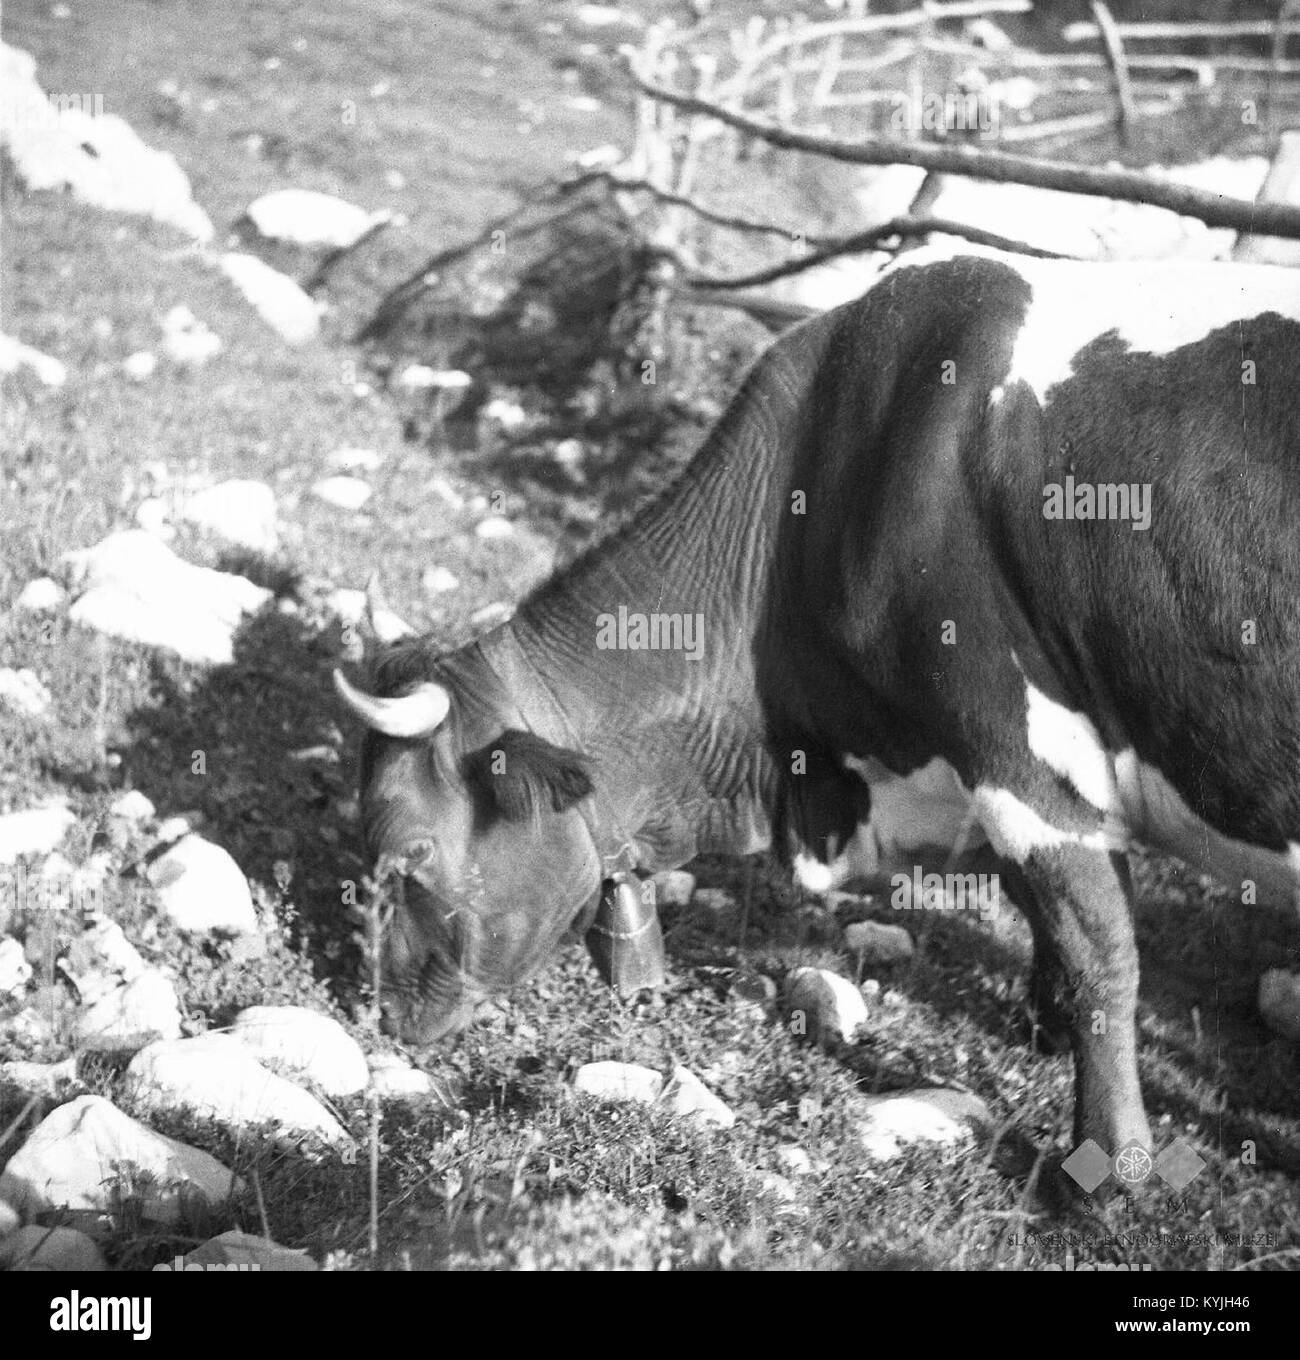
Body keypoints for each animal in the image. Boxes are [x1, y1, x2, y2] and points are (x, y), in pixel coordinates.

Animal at [334, 249, 1300, 1165]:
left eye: (408, 852)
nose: (383, 1013)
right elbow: (1059, 927)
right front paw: (1046, 1027)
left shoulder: (1019, 758)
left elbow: (1099, 952)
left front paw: (1104, 1163)